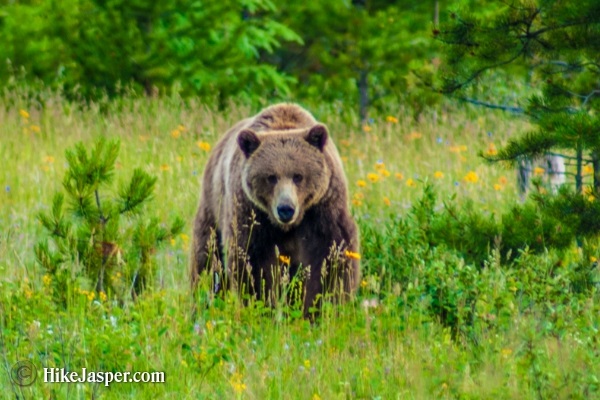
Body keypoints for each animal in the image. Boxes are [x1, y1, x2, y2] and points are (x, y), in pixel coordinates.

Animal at [192, 103, 358, 316]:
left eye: (298, 176)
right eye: (271, 177)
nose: (285, 209)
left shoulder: (323, 209)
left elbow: (331, 257)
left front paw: (320, 307)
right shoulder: (252, 212)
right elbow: (253, 263)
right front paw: (263, 305)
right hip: (213, 206)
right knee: (206, 259)